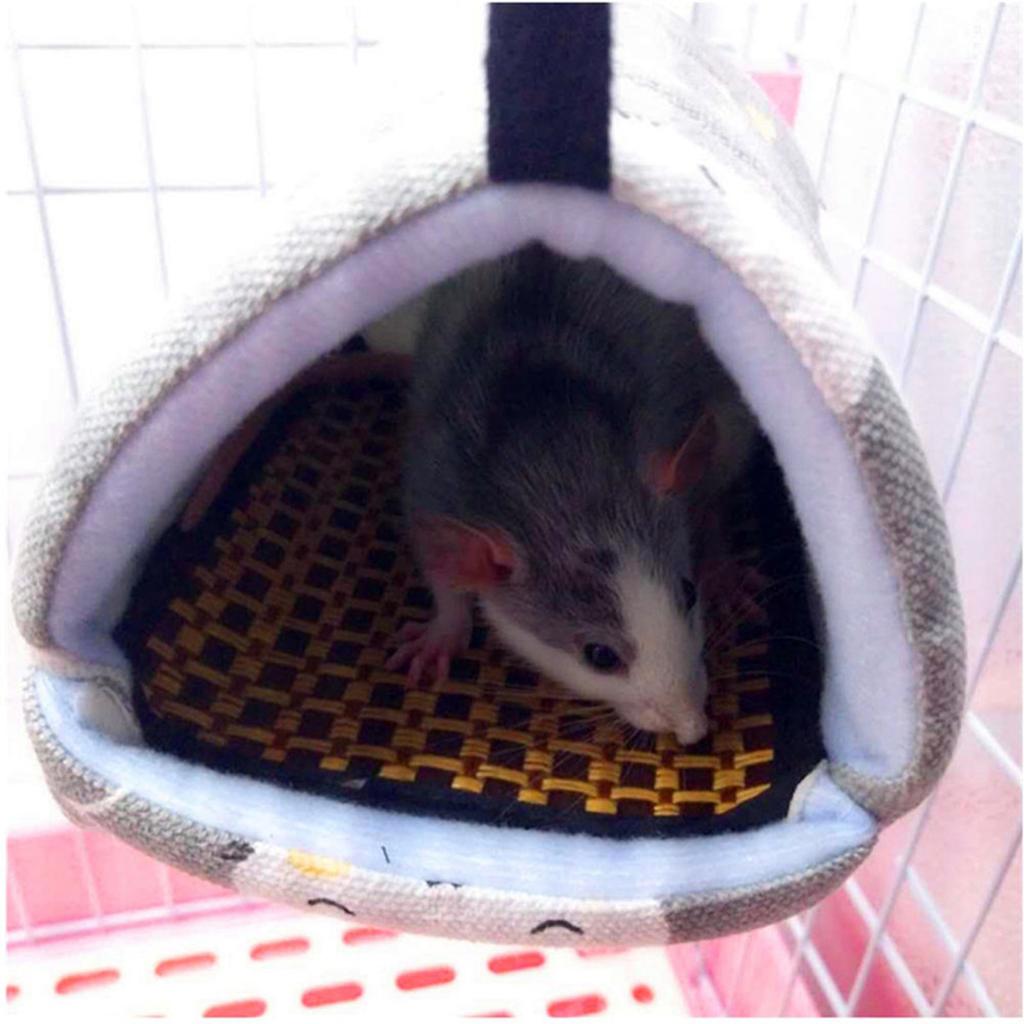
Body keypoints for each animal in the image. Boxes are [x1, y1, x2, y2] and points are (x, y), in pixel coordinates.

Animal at [386, 244, 757, 744]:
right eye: (600, 656)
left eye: (687, 592)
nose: (692, 728)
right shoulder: (435, 476)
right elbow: (438, 559)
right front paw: (443, 630)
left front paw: (716, 564)